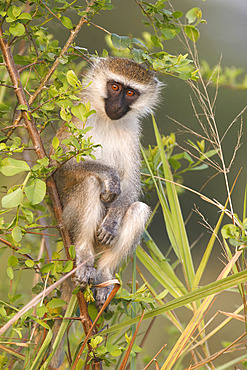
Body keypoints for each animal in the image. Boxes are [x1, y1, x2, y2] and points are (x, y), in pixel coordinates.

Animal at [51, 55, 161, 310]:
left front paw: (111, 223)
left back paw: (103, 274)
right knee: (90, 184)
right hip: (66, 221)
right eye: (115, 87)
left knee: (139, 209)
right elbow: (57, 166)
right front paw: (109, 174)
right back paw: (83, 257)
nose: (117, 106)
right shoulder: (77, 116)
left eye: (130, 93)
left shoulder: (132, 132)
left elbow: (131, 183)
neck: (105, 119)